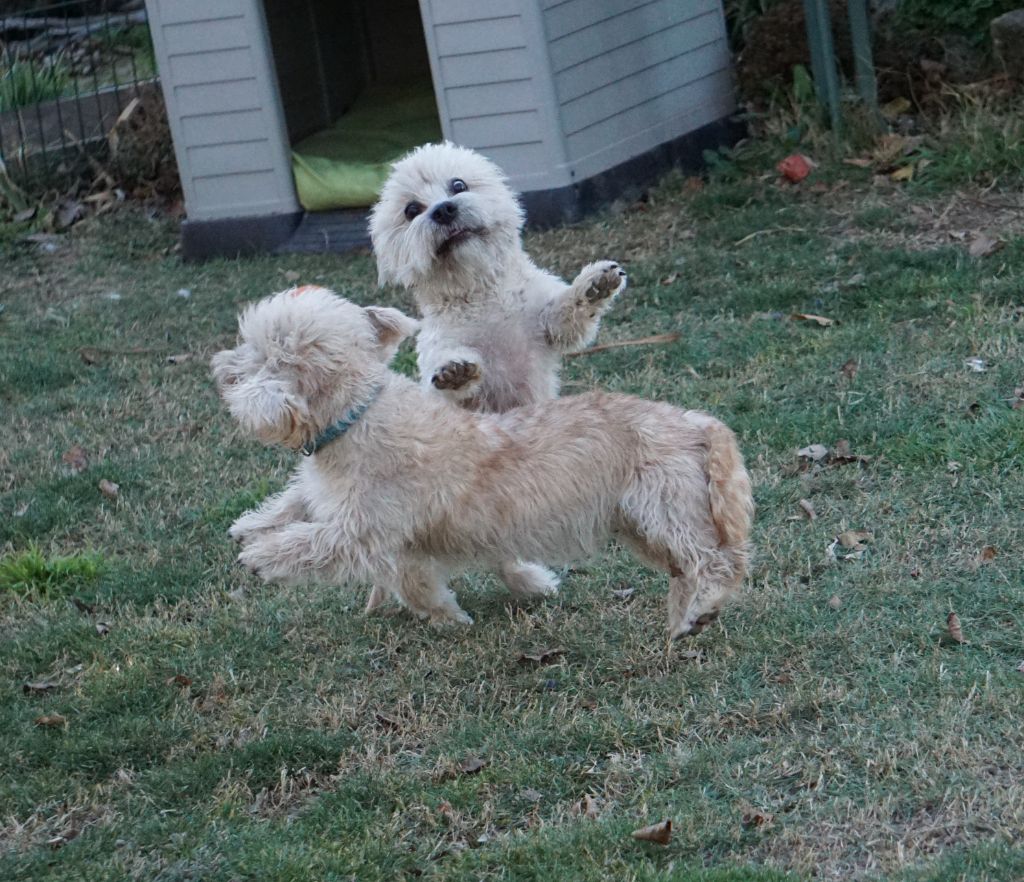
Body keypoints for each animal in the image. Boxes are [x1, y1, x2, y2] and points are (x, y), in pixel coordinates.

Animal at [211, 288, 753, 639]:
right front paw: (251, 526)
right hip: (642, 526)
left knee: (721, 564)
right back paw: (683, 619)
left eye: (260, 353)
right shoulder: (399, 543)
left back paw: (700, 611)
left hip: (666, 513)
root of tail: (694, 421)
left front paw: (261, 556)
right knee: (689, 569)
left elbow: (315, 542)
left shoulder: (363, 530)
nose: (220, 367)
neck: (356, 413)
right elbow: (303, 503)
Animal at [368, 144, 622, 610]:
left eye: (458, 185)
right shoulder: (443, 348)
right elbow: (452, 374)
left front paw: (594, 285)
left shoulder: (548, 323)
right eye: (412, 210)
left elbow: (568, 312)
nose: (443, 210)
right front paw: (454, 373)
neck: (481, 295)